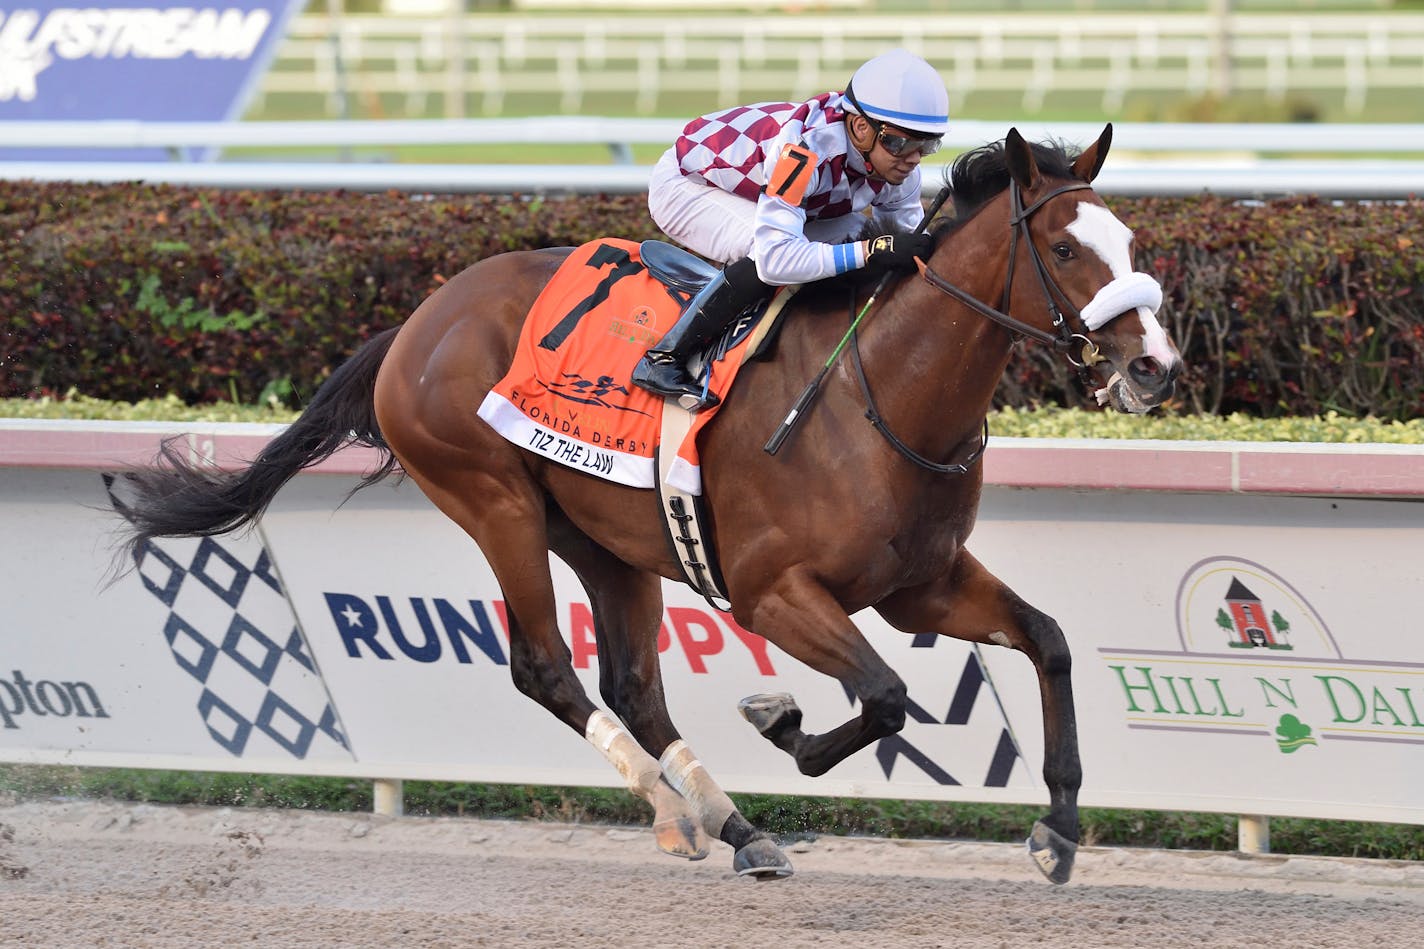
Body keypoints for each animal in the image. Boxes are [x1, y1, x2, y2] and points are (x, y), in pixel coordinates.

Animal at [113, 123, 1179, 877]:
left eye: (1130, 238)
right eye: (1065, 248)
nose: (1156, 367)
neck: (876, 393)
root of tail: (417, 322)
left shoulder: (920, 582)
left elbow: (1047, 640)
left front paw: (1061, 825)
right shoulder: (773, 592)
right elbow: (883, 696)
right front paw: (780, 721)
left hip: (606, 537)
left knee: (633, 683)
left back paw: (735, 826)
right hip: (494, 500)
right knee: (546, 666)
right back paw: (676, 811)